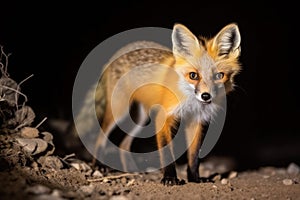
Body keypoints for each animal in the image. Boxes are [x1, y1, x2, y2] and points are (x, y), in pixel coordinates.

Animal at [69, 23, 241, 186]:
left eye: (219, 76)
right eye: (193, 76)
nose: (206, 96)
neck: (191, 100)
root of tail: (117, 54)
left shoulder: (196, 120)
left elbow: (193, 156)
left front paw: (194, 179)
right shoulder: (164, 116)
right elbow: (167, 152)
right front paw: (170, 178)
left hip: (141, 119)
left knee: (124, 144)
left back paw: (131, 169)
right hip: (119, 112)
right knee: (101, 136)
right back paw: (98, 164)